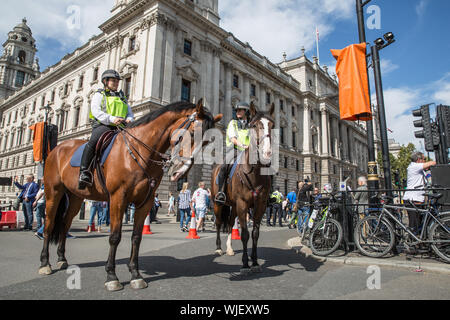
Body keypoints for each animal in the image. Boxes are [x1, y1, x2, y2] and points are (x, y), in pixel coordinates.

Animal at [39, 99, 222, 290]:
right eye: (192, 133)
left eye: (207, 142)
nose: (180, 171)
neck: (139, 153)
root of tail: (58, 148)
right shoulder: (118, 198)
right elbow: (115, 237)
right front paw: (111, 276)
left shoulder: (146, 201)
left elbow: (136, 237)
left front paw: (135, 274)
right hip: (53, 193)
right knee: (49, 225)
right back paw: (45, 263)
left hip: (75, 197)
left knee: (65, 224)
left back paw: (61, 259)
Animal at [210, 102, 274, 276]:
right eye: (255, 125)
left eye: (271, 125)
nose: (267, 153)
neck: (254, 173)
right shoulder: (242, 204)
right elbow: (245, 234)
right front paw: (245, 264)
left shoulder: (260, 205)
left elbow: (255, 233)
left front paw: (255, 261)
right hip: (218, 204)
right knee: (219, 223)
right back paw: (218, 248)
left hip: (232, 206)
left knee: (230, 223)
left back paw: (229, 248)